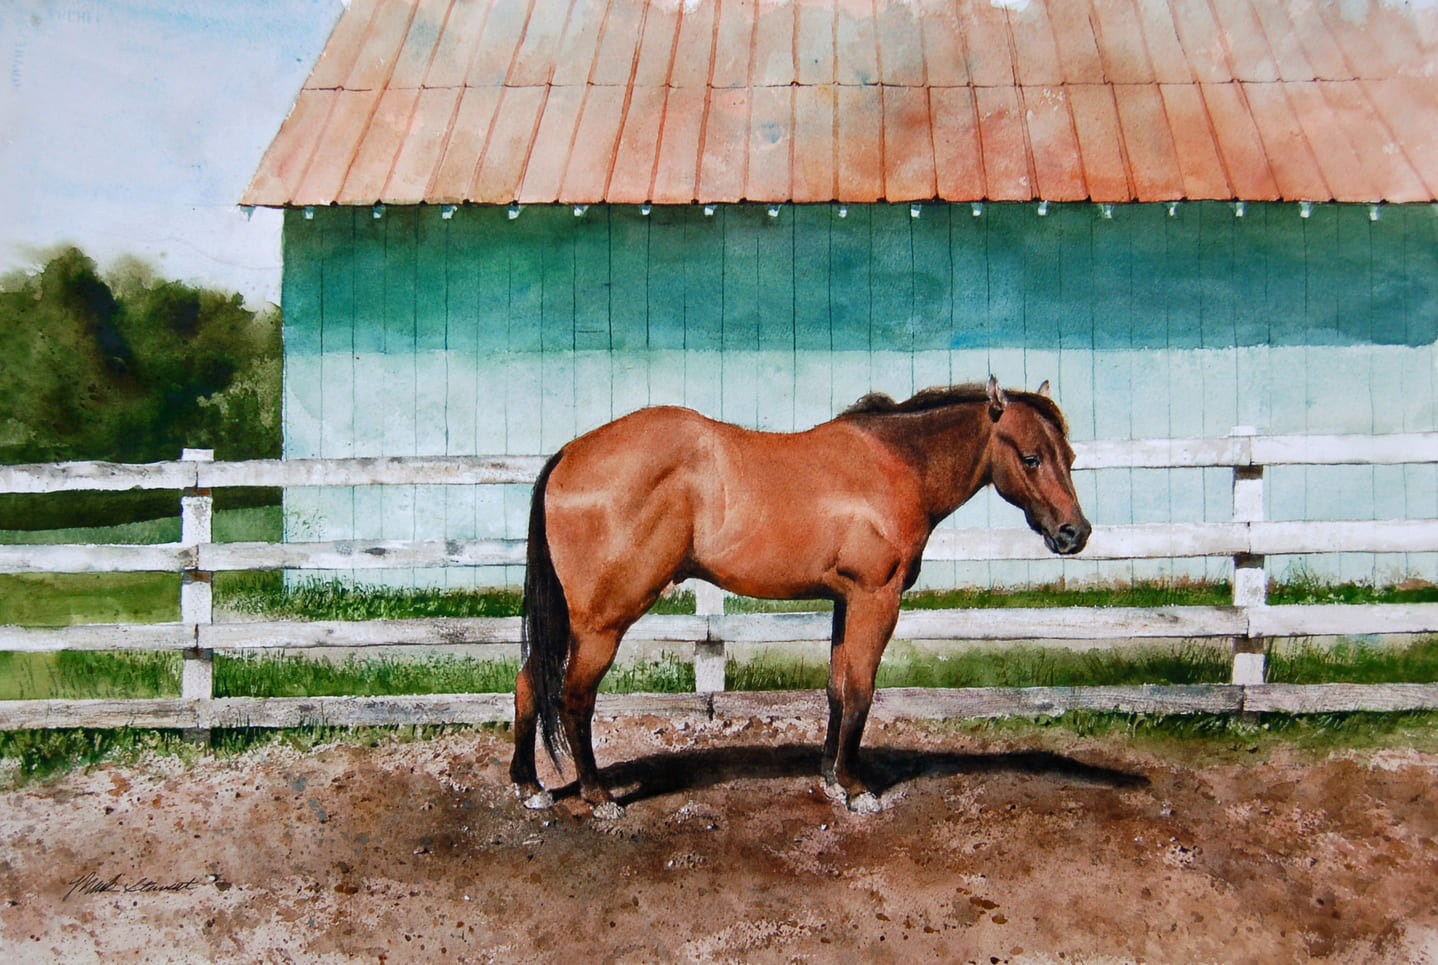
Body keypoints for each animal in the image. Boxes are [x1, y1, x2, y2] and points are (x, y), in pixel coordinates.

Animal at [509, 377, 1090, 817]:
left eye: (1068, 455)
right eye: (1032, 458)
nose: (1075, 533)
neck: (893, 465)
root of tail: (568, 453)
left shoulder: (844, 601)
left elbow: (837, 690)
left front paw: (831, 777)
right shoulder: (876, 600)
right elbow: (861, 692)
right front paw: (856, 790)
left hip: (572, 621)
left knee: (528, 683)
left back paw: (530, 786)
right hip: (601, 621)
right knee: (574, 698)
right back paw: (598, 796)